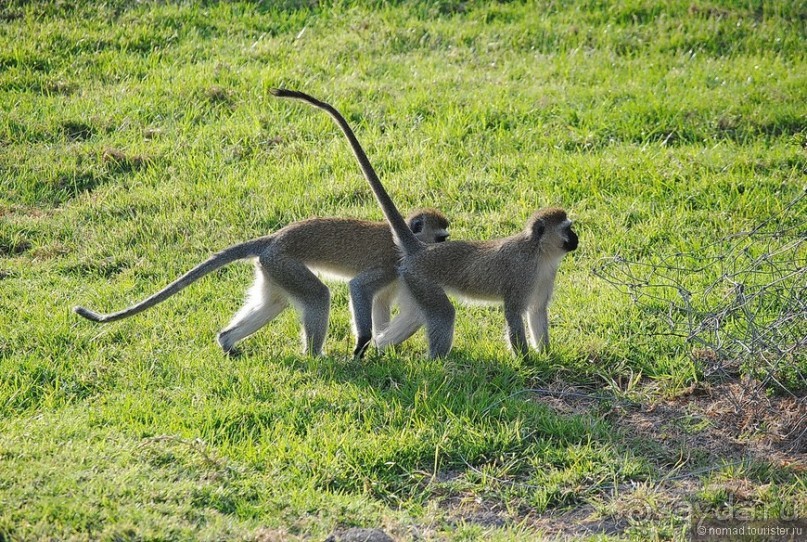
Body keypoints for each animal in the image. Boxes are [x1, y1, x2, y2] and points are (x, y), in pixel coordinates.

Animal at [72, 214, 452, 362]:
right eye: (441, 238)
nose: (448, 250)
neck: (407, 242)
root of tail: (273, 239)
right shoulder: (389, 264)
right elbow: (359, 288)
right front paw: (364, 344)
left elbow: (381, 305)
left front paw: (385, 346)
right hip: (284, 263)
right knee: (318, 297)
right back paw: (315, 356)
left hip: (273, 270)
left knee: (273, 304)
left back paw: (228, 342)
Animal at [274, 87, 576, 360]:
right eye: (568, 229)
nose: (576, 239)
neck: (539, 252)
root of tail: (421, 250)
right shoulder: (521, 273)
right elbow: (514, 314)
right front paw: (526, 362)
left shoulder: (546, 273)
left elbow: (537, 311)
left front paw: (548, 356)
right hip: (421, 279)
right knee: (443, 313)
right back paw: (436, 362)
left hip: (411, 281)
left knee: (416, 316)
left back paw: (381, 346)